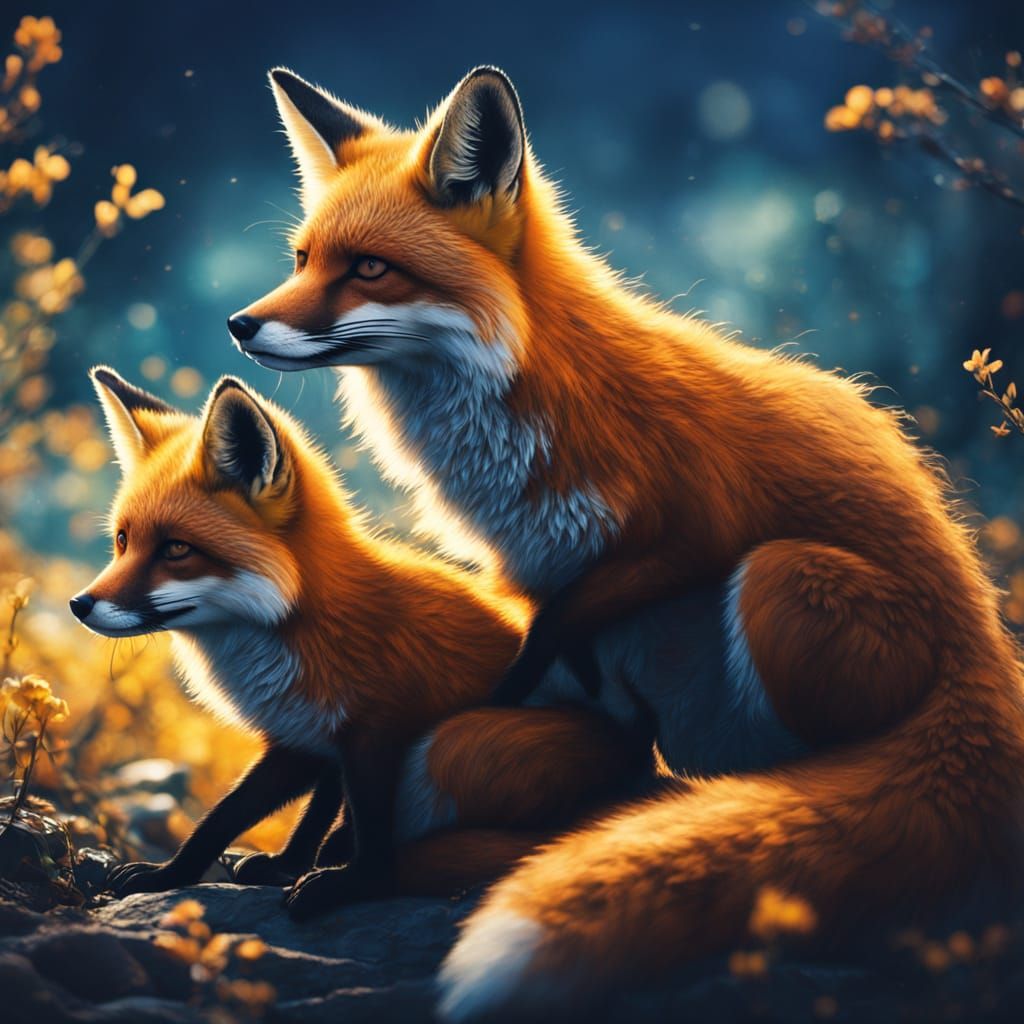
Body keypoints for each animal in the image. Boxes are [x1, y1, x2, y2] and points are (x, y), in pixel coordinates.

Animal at [71, 367, 650, 914]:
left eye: (176, 549)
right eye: (122, 542)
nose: (80, 605)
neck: (302, 624)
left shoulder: (381, 729)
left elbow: (367, 830)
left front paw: (347, 885)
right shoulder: (306, 738)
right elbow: (233, 815)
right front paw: (179, 874)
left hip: (452, 744)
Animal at [224, 64, 1024, 1016]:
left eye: (370, 270)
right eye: (302, 260)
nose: (240, 325)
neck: (529, 406)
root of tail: (987, 653)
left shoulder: (689, 527)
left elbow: (536, 648)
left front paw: (352, 862)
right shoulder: (525, 574)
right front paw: (318, 855)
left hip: (783, 579)